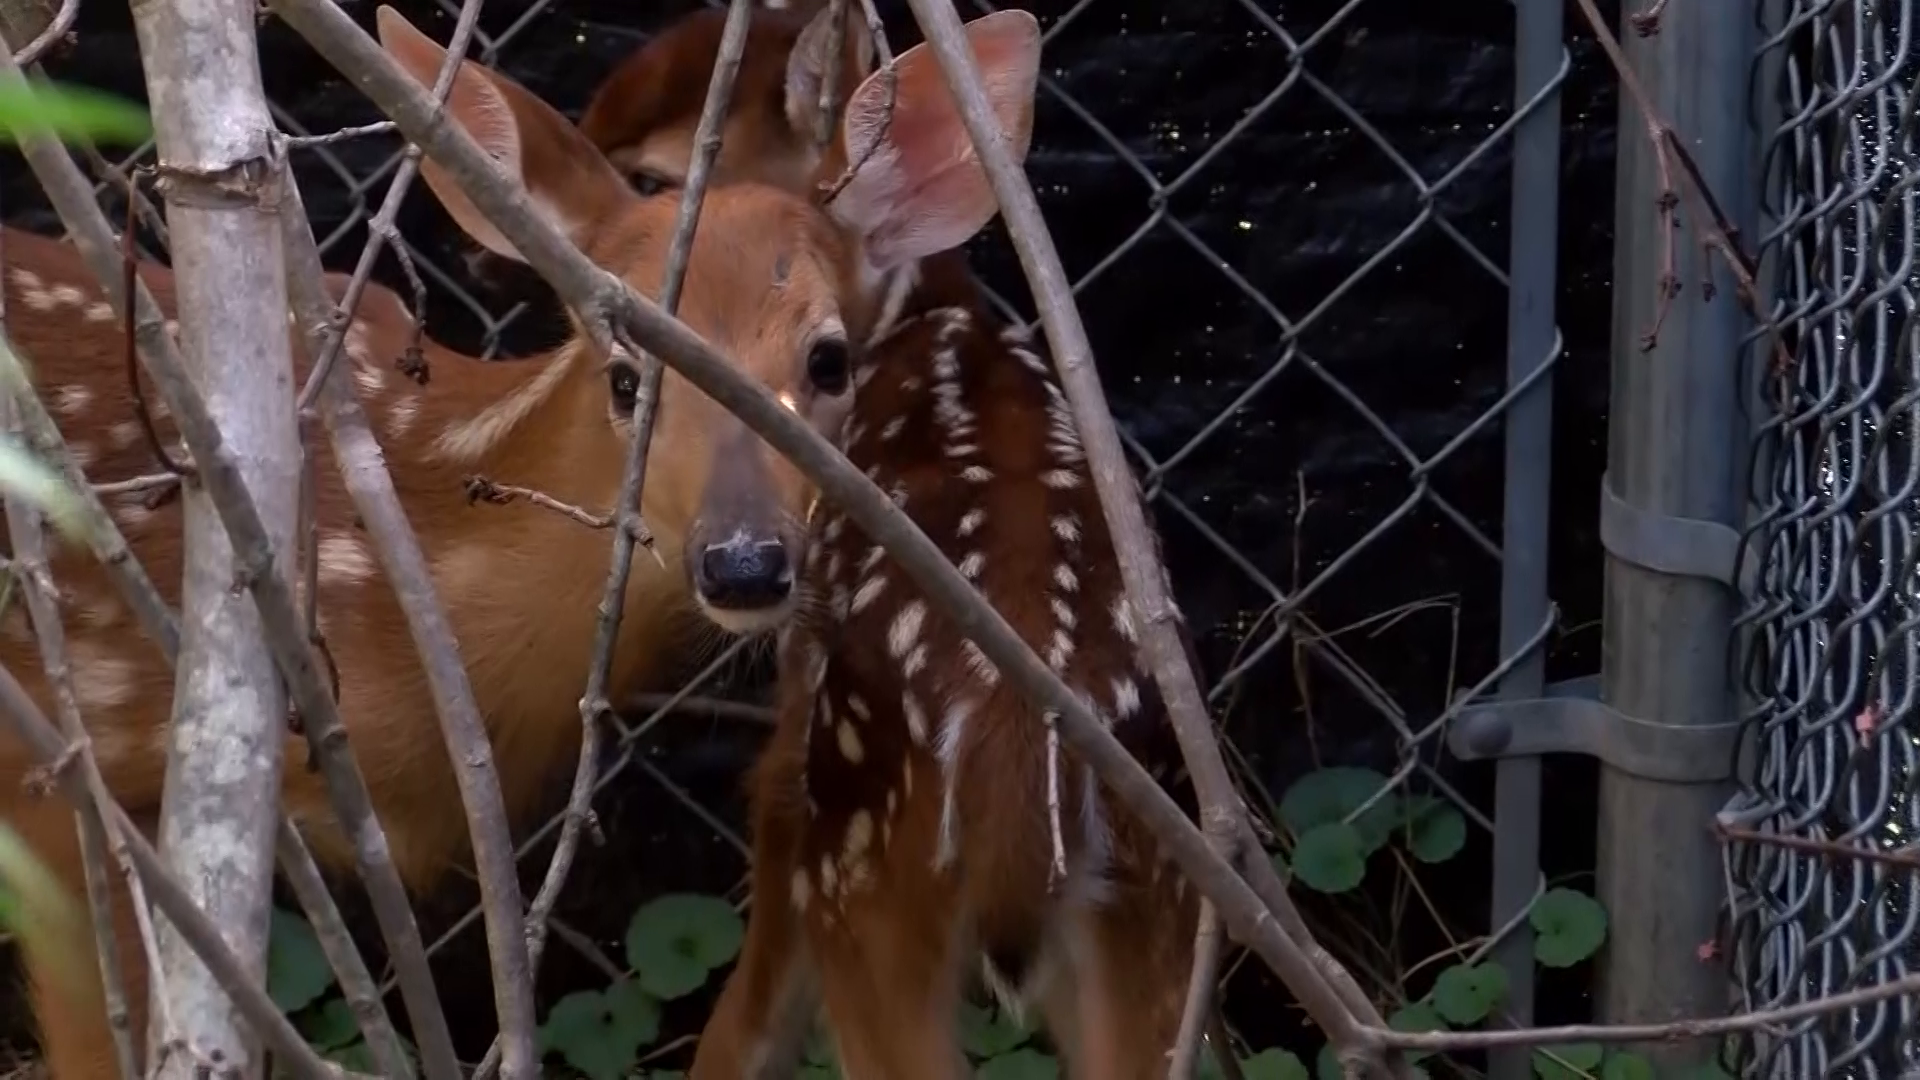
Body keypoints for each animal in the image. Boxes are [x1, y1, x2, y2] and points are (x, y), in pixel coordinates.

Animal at [579, 4, 1208, 1077]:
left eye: (658, 181)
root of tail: (1013, 752)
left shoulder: (794, 744)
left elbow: (749, 1016)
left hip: (862, 864)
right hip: (1154, 898)